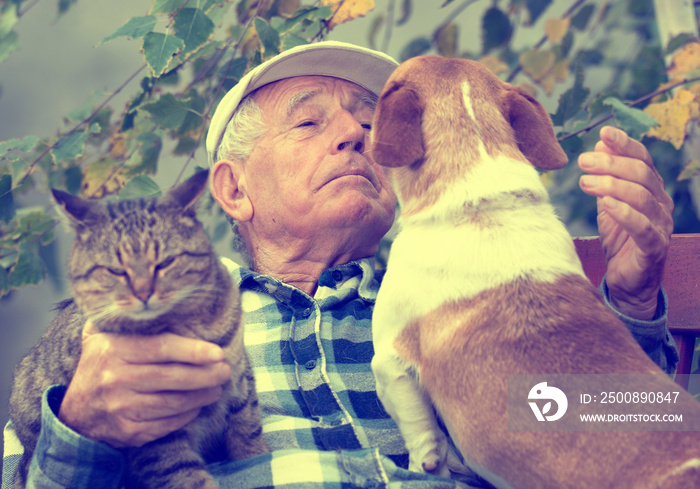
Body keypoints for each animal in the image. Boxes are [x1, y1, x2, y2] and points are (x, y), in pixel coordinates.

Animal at [9, 169, 266, 488]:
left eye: (166, 262)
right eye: (115, 270)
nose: (144, 292)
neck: (191, 329)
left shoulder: (240, 381)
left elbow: (249, 435)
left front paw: (256, 454)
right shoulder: (155, 438)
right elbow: (187, 476)